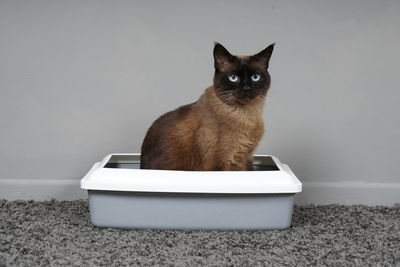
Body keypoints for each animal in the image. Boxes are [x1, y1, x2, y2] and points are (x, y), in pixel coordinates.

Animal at [139, 42, 274, 172]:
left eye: (255, 77)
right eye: (233, 78)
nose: (246, 88)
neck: (246, 116)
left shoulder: (244, 159)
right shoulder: (219, 162)